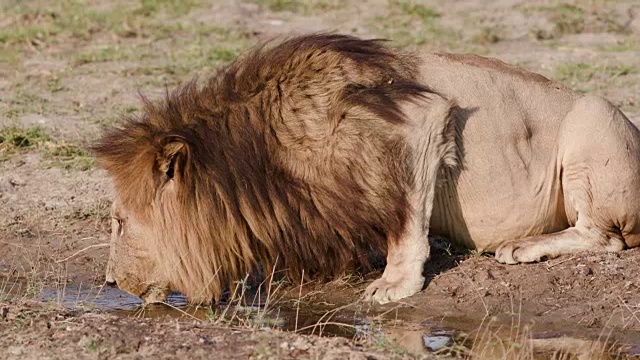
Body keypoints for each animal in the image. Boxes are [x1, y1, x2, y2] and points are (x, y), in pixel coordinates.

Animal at [94, 33, 640, 306]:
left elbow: (406, 221)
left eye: (119, 222)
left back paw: (524, 247)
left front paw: (394, 284)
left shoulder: (422, 120)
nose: (111, 284)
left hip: (594, 115)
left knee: (605, 237)